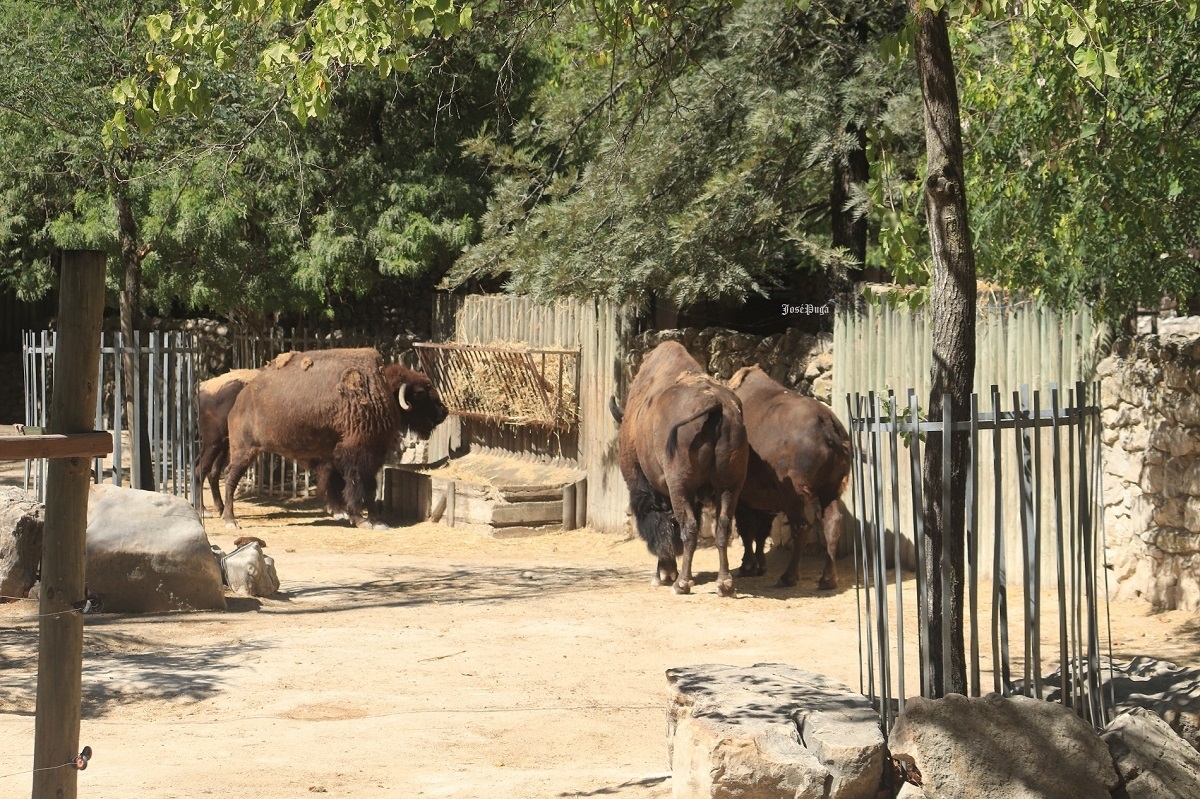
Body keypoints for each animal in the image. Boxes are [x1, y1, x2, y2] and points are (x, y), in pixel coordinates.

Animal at [219, 347, 446, 527]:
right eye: (419, 393)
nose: (443, 412)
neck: (382, 391)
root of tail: (240, 401)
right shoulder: (357, 453)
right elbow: (357, 485)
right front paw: (361, 519)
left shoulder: (358, 456)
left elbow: (363, 486)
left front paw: (373, 520)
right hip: (244, 451)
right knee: (230, 477)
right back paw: (230, 521)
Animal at [614, 338, 744, 595]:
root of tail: (716, 406)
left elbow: (666, 527)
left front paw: (663, 574)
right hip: (729, 486)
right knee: (722, 526)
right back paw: (724, 584)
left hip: (681, 486)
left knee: (689, 528)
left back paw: (681, 583)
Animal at [724, 364, 849, 587]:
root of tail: (825, 422)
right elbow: (760, 532)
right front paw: (759, 566)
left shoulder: (744, 498)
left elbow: (748, 530)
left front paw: (748, 567)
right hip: (831, 488)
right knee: (832, 523)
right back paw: (827, 579)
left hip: (795, 493)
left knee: (801, 526)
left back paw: (788, 577)